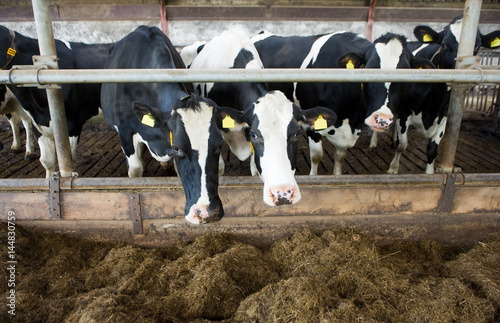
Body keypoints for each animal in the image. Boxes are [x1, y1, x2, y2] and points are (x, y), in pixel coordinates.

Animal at [252, 30, 424, 176]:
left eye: (407, 73)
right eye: (369, 69)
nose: (382, 120)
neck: (350, 116)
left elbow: (340, 156)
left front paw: (337, 175)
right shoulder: (313, 122)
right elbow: (316, 156)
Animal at [386, 15, 500, 175]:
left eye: (477, 47)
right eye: (445, 44)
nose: (458, 76)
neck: (435, 100)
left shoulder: (444, 118)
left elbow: (432, 150)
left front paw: (429, 173)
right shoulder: (404, 113)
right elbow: (403, 145)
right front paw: (393, 168)